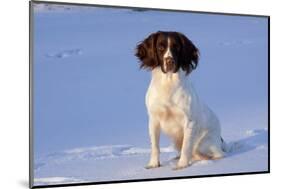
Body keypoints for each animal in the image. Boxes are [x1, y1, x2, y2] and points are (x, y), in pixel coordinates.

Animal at [135, 31, 225, 170]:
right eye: (160, 47)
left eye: (176, 47)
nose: (169, 61)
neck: (168, 84)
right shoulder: (153, 119)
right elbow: (155, 146)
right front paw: (153, 164)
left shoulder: (189, 122)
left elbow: (186, 147)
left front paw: (181, 165)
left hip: (203, 142)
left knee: (215, 154)